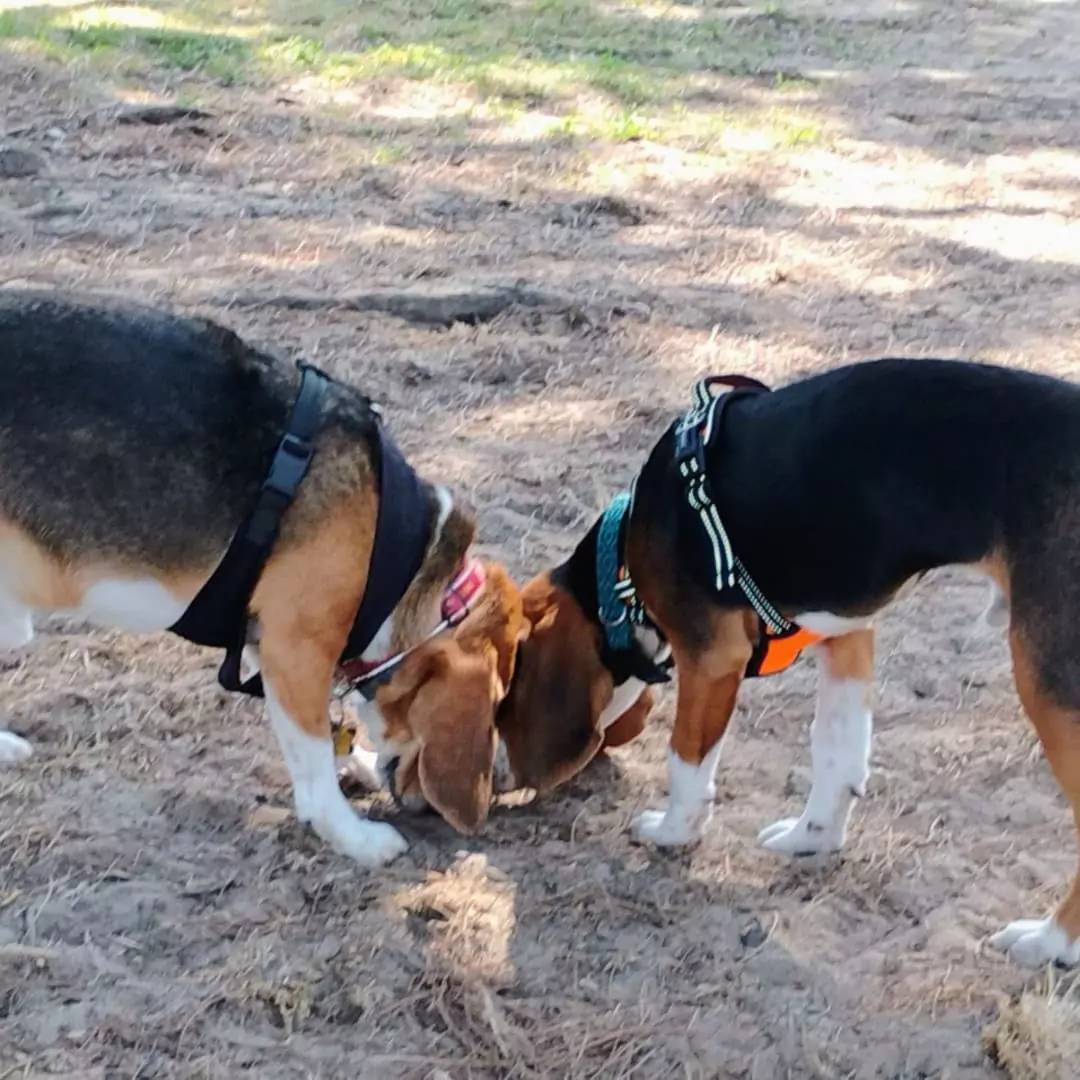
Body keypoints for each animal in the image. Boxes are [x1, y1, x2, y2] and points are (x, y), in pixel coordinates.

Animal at [0, 291, 518, 864]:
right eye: (499, 706)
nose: (499, 782)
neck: (407, 561)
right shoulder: (295, 652)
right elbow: (315, 757)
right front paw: (352, 834)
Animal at [503, 358, 1080, 967]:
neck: (621, 565)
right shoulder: (848, 637)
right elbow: (836, 753)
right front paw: (814, 836)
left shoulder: (711, 658)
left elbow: (685, 759)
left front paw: (674, 829)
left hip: (1049, 687)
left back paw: (1050, 941)